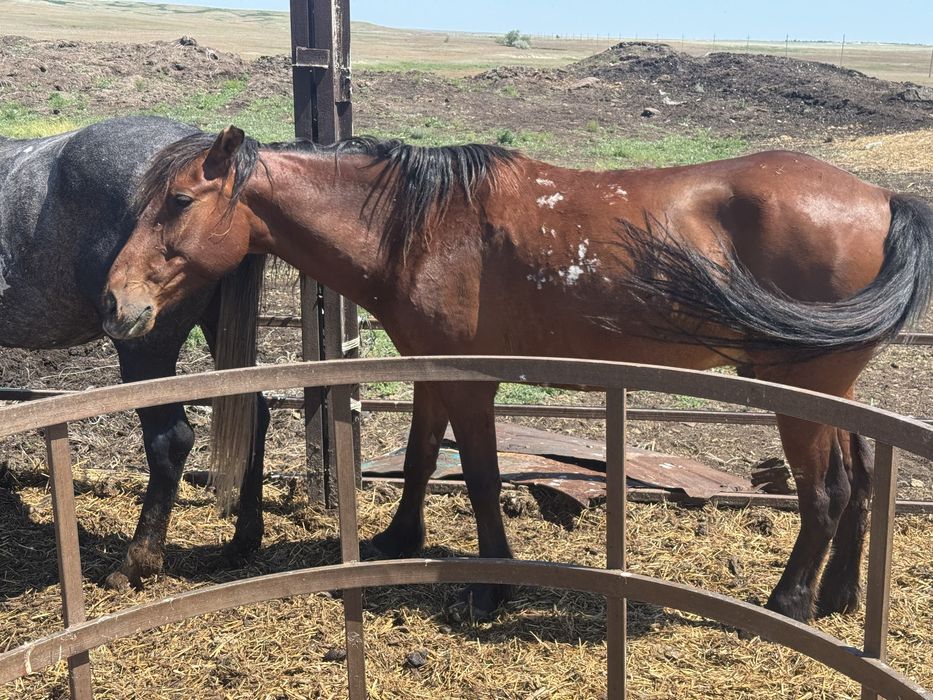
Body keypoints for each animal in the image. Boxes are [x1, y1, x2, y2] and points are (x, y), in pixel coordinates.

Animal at [102, 125, 933, 622]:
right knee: (861, 480)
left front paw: (490, 583)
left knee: (825, 493)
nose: (115, 303)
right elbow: (418, 458)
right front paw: (397, 540)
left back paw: (787, 603)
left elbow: (475, 475)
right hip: (836, 390)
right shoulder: (432, 369)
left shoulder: (472, 381)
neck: (419, 226)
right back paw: (836, 598)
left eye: (178, 200)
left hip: (802, 390)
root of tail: (880, 197)